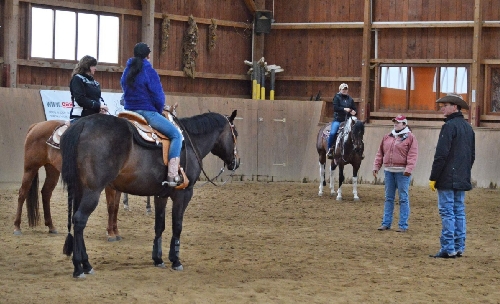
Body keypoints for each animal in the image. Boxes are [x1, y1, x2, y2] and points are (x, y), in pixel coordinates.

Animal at [60, 110, 240, 278]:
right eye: (235, 134)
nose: (236, 162)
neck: (190, 142)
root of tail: (82, 124)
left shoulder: (160, 195)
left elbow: (159, 225)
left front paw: (158, 259)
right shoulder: (183, 194)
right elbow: (177, 225)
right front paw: (175, 260)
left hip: (79, 189)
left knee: (76, 221)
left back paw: (85, 264)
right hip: (92, 191)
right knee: (79, 220)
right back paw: (79, 268)